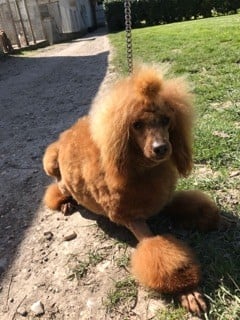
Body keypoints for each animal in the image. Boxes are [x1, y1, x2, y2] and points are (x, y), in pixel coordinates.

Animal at [42, 65, 221, 316]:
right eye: (136, 125)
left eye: (166, 120)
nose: (161, 148)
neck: (141, 167)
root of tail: (64, 135)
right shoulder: (132, 218)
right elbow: (159, 251)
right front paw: (187, 291)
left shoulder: (163, 199)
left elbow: (192, 207)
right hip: (52, 165)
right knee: (57, 185)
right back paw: (66, 202)